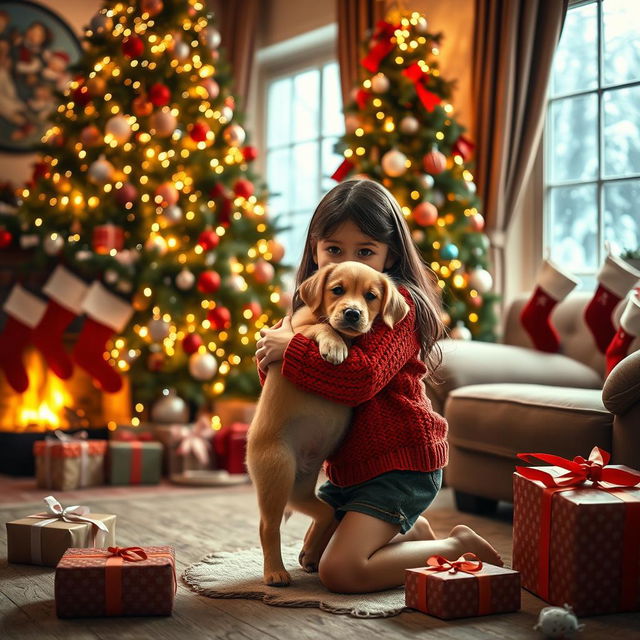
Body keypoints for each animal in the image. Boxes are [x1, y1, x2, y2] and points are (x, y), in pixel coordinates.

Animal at [245, 258, 410, 584]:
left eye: (371, 296)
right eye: (337, 290)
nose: (352, 313)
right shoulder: (300, 327)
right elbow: (322, 326)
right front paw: (334, 346)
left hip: (299, 487)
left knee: (326, 512)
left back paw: (311, 552)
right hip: (277, 470)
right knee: (268, 526)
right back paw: (276, 571)